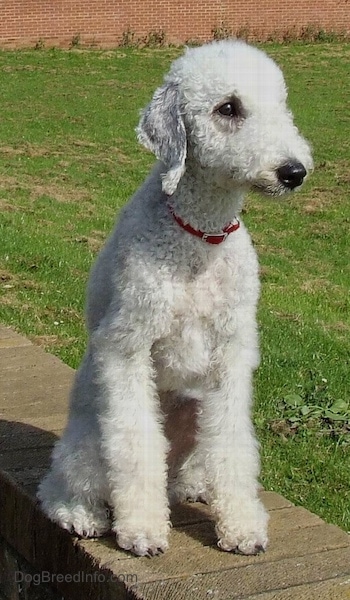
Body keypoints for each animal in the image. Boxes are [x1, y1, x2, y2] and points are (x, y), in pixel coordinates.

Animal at [37, 41, 314, 556]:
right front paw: (143, 530)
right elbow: (136, 446)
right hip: (88, 437)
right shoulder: (127, 344)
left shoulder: (232, 351)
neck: (199, 237)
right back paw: (82, 514)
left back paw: (194, 489)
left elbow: (234, 444)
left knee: (185, 471)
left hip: (194, 414)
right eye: (228, 108)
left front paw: (241, 527)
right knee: (65, 480)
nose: (294, 172)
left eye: (281, 103)